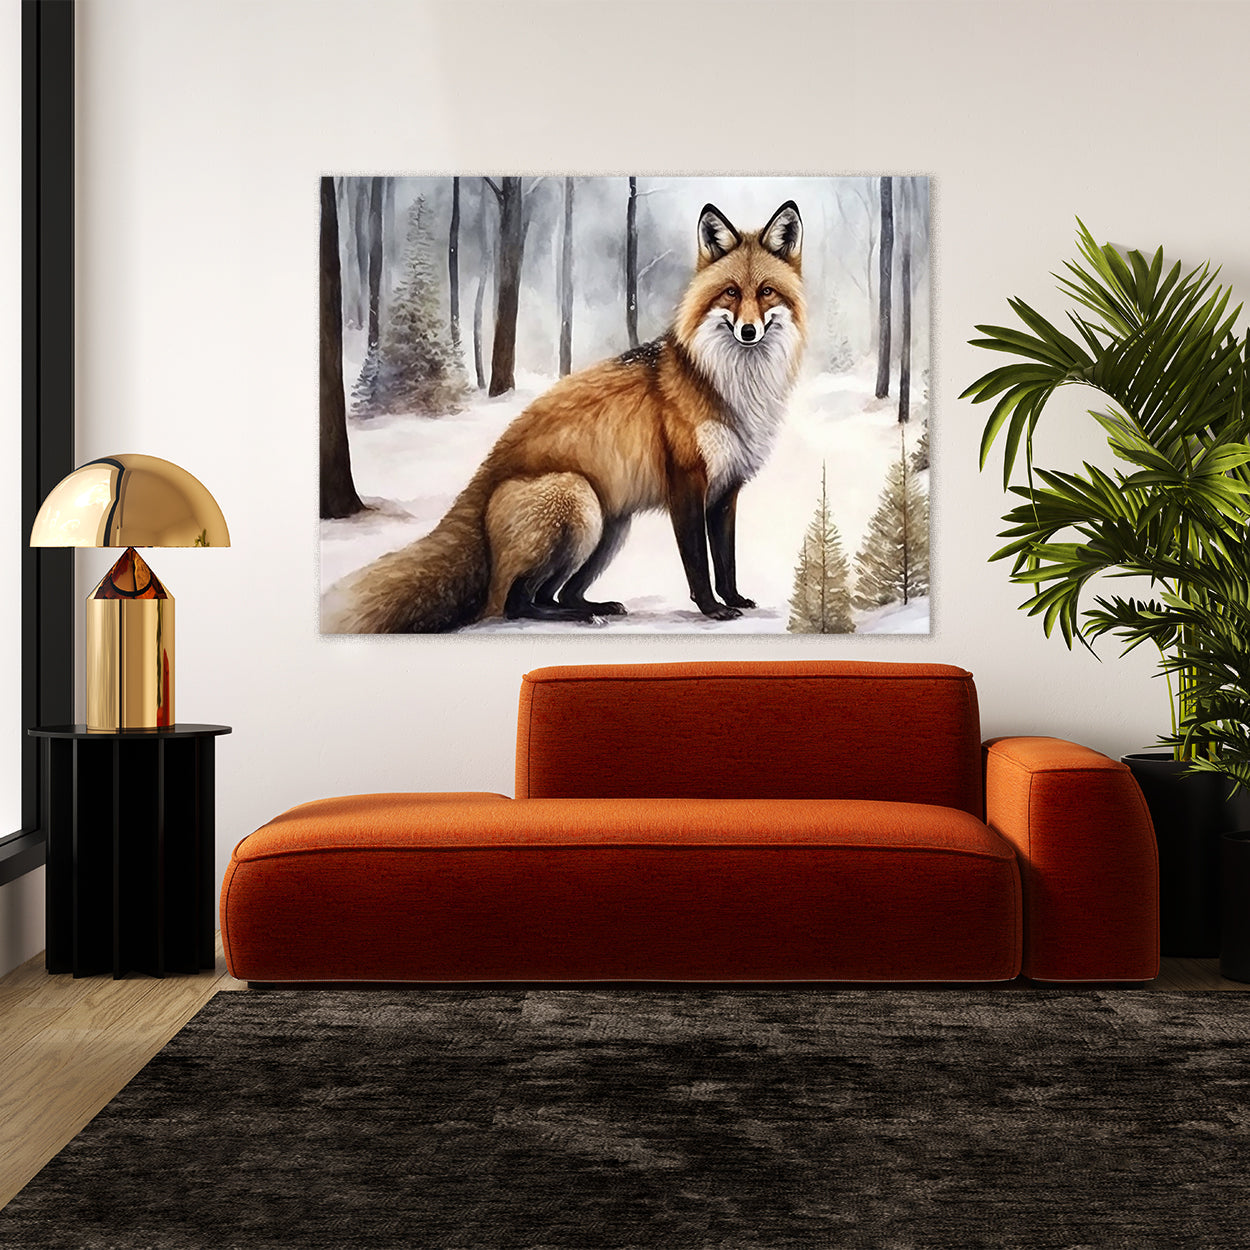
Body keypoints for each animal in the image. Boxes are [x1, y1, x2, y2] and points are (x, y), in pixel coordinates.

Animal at [323, 198, 806, 633]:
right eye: (731, 292)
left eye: (766, 291)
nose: (748, 331)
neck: (730, 386)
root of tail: (484, 478)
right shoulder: (686, 483)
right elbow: (698, 564)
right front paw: (711, 609)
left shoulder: (726, 489)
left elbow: (726, 560)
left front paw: (735, 599)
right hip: (578, 501)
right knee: (515, 603)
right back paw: (577, 616)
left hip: (610, 526)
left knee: (557, 592)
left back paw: (597, 605)